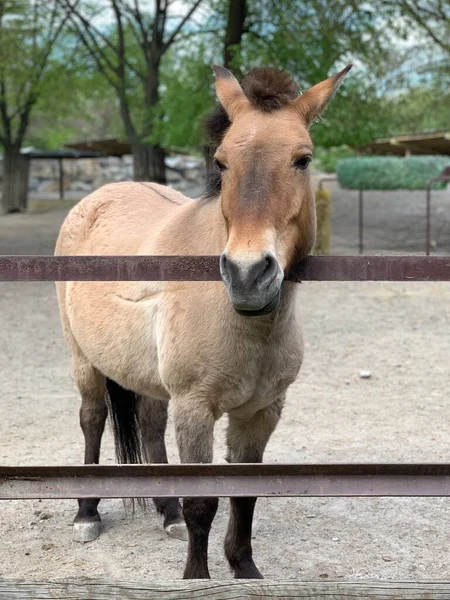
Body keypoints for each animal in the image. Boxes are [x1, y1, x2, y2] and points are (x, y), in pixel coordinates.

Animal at [55, 63, 352, 580]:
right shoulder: (195, 408)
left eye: (303, 159)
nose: (249, 274)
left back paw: (165, 512)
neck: (247, 325)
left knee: (150, 425)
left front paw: (245, 569)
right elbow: (203, 504)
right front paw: (197, 577)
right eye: (221, 162)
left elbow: (244, 497)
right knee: (92, 420)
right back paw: (87, 512)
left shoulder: (260, 412)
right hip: (84, 361)